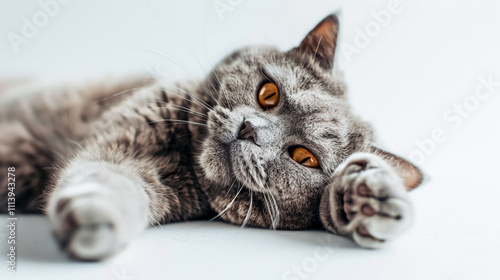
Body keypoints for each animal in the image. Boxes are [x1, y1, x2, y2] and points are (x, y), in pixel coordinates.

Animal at [0, 14, 422, 260]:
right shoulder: (120, 134)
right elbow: (101, 172)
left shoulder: (144, 172)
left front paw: (366, 200)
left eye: (304, 157)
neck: (182, 158)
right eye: (268, 94)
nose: (250, 129)